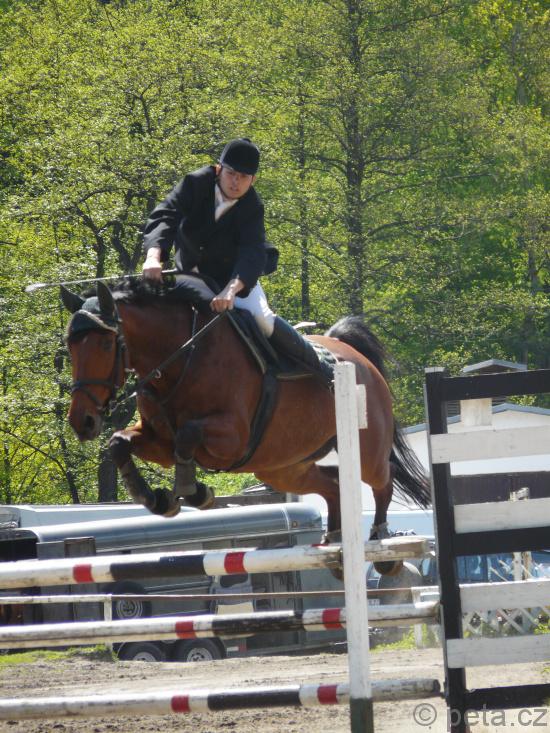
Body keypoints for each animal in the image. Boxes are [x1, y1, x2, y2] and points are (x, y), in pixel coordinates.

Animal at [61, 279, 430, 573]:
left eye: (106, 344)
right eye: (70, 346)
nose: (83, 422)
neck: (182, 359)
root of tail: (358, 358)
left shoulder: (231, 438)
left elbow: (187, 435)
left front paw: (195, 493)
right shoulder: (159, 442)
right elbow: (120, 442)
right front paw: (154, 498)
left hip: (364, 450)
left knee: (383, 482)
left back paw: (382, 545)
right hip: (283, 467)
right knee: (332, 483)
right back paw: (334, 545)